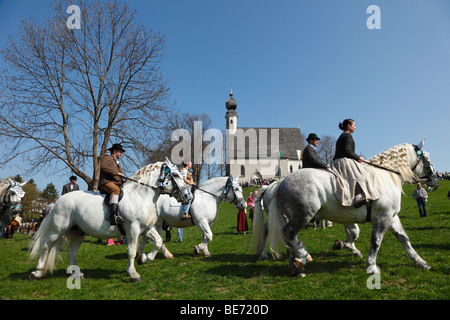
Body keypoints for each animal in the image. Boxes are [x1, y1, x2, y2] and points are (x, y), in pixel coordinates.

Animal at [27, 159, 190, 282]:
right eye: (175, 174)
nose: (188, 196)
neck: (141, 196)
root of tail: (58, 201)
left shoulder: (146, 229)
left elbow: (158, 241)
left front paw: (144, 258)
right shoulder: (133, 228)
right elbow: (131, 251)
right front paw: (133, 274)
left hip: (78, 232)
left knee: (71, 250)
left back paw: (76, 273)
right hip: (59, 230)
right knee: (46, 245)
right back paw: (37, 272)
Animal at [253, 141, 440, 276]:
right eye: (427, 158)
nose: (435, 181)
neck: (385, 175)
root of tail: (281, 182)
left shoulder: (391, 217)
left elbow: (403, 238)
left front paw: (420, 262)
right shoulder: (382, 217)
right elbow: (375, 241)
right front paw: (371, 266)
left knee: (282, 235)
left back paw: (295, 263)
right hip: (302, 216)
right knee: (288, 233)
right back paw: (302, 256)